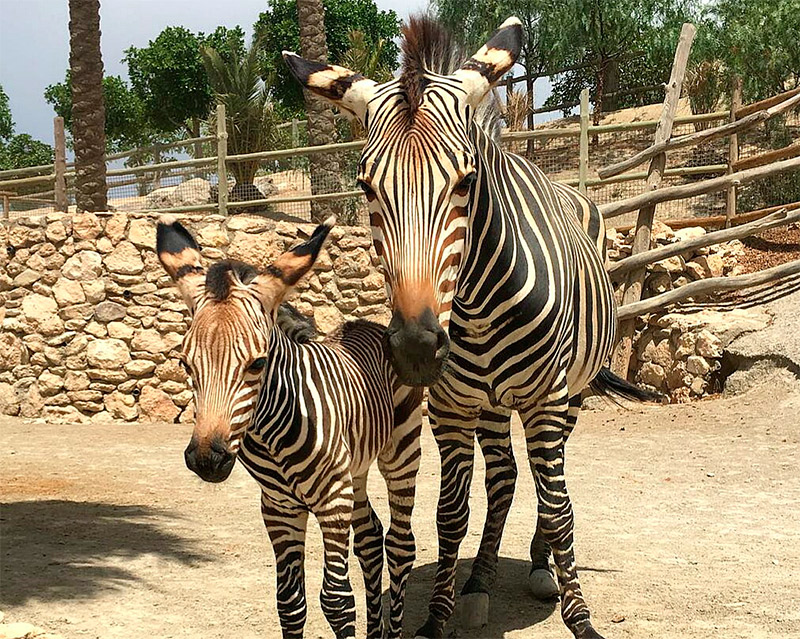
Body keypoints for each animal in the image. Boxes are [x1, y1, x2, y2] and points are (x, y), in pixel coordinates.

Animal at [155, 216, 423, 639]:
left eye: (257, 364)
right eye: (185, 364)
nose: (206, 459)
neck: (270, 435)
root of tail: (366, 324)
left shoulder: (332, 499)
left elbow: (336, 601)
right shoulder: (279, 507)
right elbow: (289, 603)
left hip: (401, 450)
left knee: (400, 545)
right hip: (356, 470)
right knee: (370, 538)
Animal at [284, 15, 655, 639]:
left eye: (465, 181)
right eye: (365, 187)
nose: (415, 349)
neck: (477, 304)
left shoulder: (547, 398)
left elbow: (558, 506)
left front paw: (580, 617)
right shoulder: (450, 405)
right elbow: (450, 512)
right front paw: (438, 616)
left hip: (570, 395)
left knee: (548, 485)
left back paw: (541, 568)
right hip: (489, 403)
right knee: (504, 477)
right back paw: (479, 583)